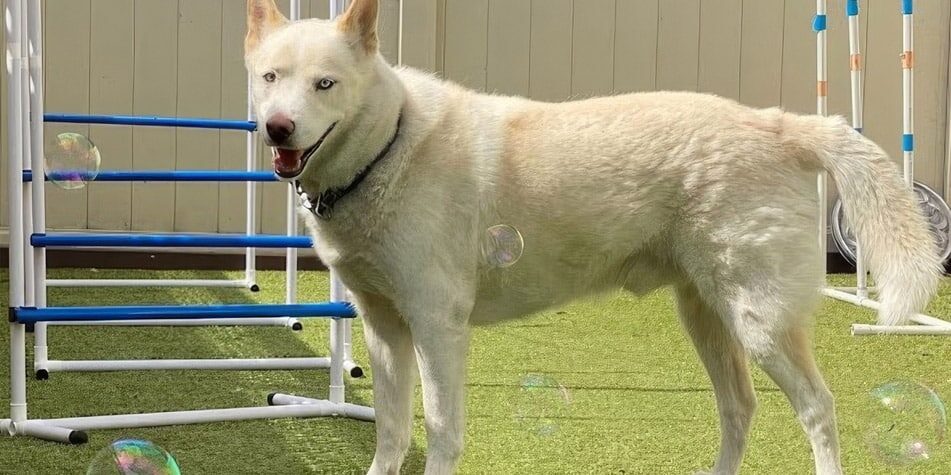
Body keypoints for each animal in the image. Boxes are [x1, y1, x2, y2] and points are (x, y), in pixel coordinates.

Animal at [245, 1, 944, 474]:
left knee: (819, 409)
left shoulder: (437, 326)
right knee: (740, 406)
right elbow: (391, 432)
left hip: (761, 321)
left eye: (326, 84)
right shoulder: (383, 328)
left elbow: (439, 429)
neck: (390, 144)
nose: (277, 128)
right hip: (708, 317)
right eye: (270, 78)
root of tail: (782, 125)